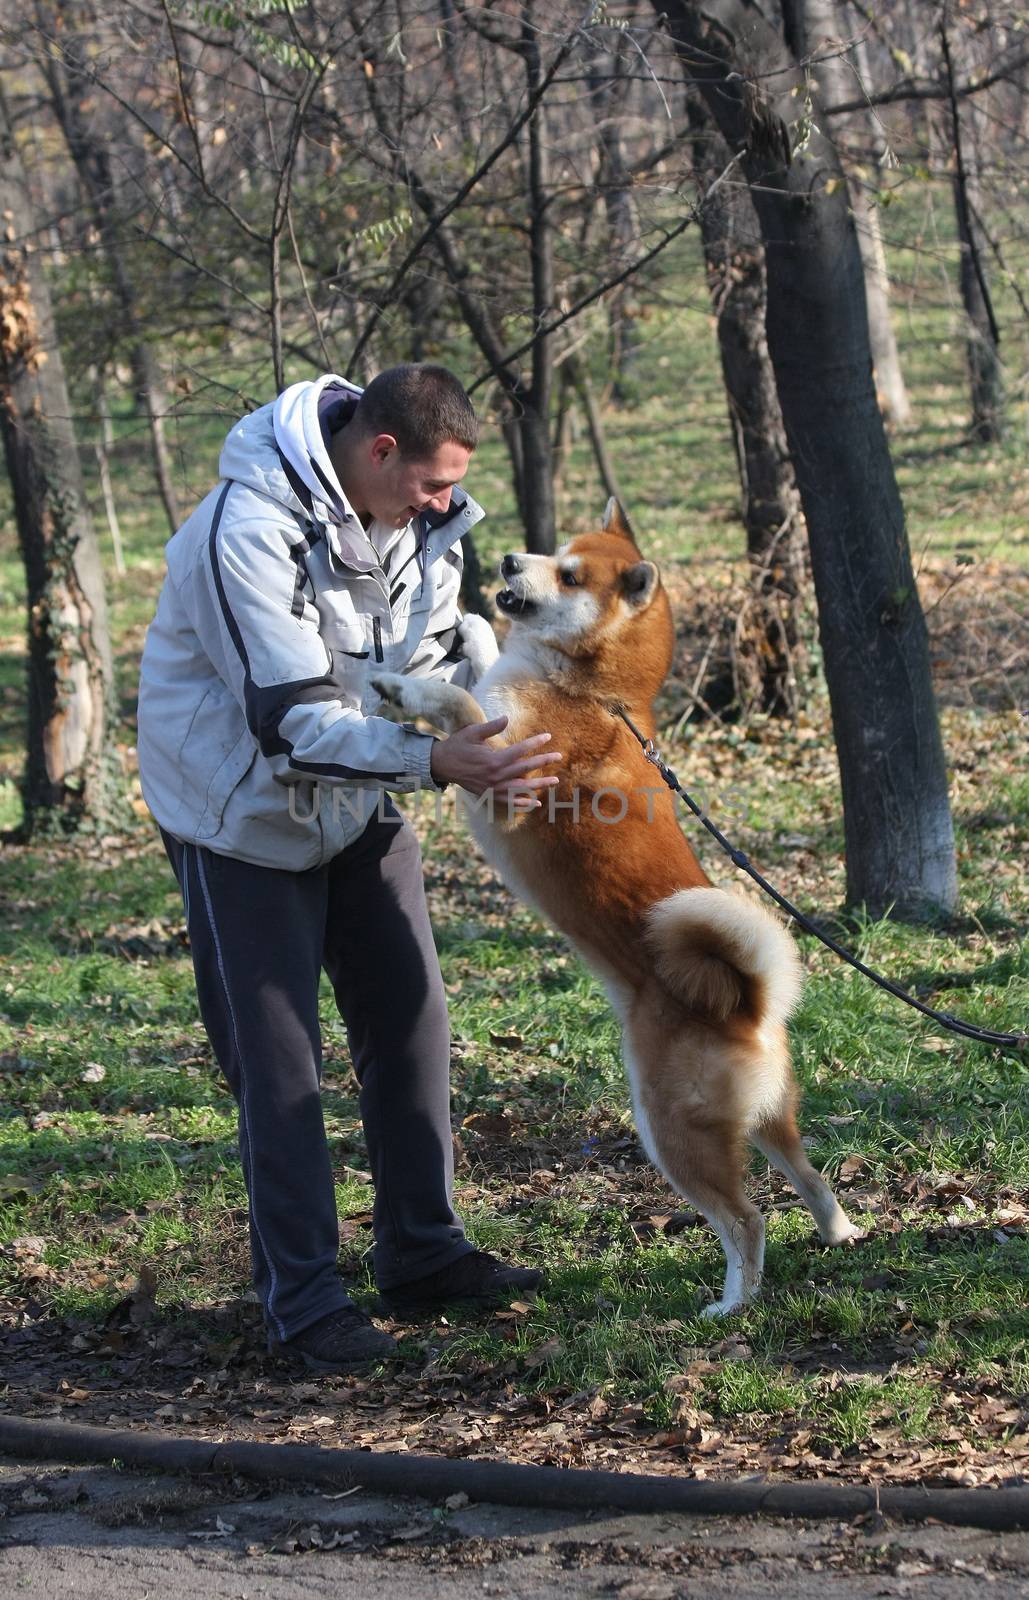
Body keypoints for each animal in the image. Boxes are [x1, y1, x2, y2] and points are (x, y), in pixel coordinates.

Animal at [369, 499, 864, 1312]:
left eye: (569, 575)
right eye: (552, 553)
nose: (507, 560)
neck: (592, 690)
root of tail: (745, 1004)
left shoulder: (505, 775)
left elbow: (459, 699)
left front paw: (403, 690)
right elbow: (480, 665)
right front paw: (470, 628)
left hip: (669, 1132)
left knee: (746, 1218)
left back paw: (731, 1304)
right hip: (767, 1120)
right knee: (810, 1177)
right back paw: (837, 1234)